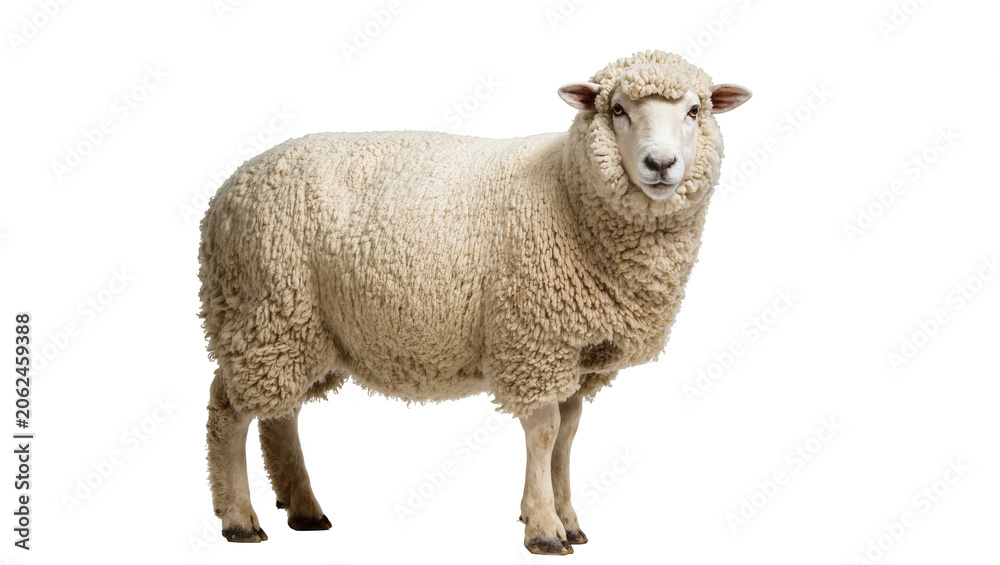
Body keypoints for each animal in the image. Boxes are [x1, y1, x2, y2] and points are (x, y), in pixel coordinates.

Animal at [200, 50, 751, 555]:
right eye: (618, 110)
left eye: (695, 111)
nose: (660, 164)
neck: (568, 192)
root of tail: (228, 189)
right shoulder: (533, 340)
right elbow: (545, 432)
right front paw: (544, 529)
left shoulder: (575, 353)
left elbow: (568, 436)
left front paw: (568, 519)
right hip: (265, 309)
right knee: (228, 410)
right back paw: (239, 519)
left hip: (299, 328)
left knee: (279, 414)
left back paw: (304, 509)